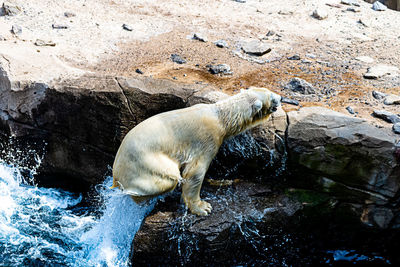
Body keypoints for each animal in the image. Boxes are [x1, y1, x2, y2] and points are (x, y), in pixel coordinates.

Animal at [111, 87, 282, 217]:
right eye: (271, 97)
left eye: (268, 90)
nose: (281, 97)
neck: (221, 116)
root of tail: (116, 174)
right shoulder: (208, 139)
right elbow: (195, 173)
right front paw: (203, 207)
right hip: (145, 164)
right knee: (167, 179)